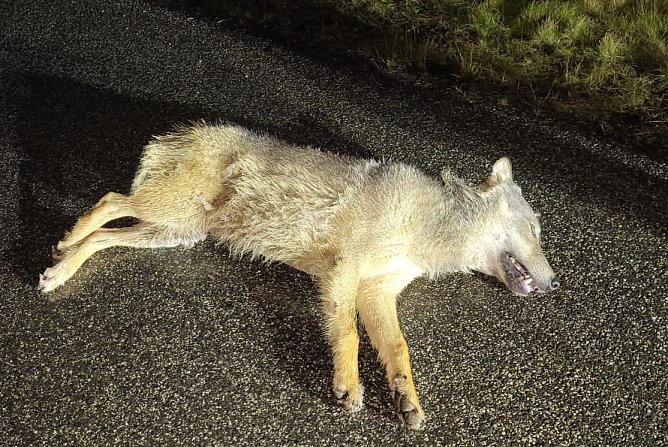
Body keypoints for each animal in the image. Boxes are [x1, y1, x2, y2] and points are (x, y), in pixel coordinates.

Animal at [39, 122, 559, 429]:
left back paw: (63, 268)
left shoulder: (376, 292)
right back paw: (67, 244)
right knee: (108, 200)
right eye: (535, 230)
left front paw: (405, 398)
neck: (427, 230)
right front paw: (349, 386)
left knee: (103, 237)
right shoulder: (342, 273)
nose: (556, 284)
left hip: (175, 232)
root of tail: (190, 129)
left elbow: (397, 349)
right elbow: (348, 334)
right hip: (167, 213)